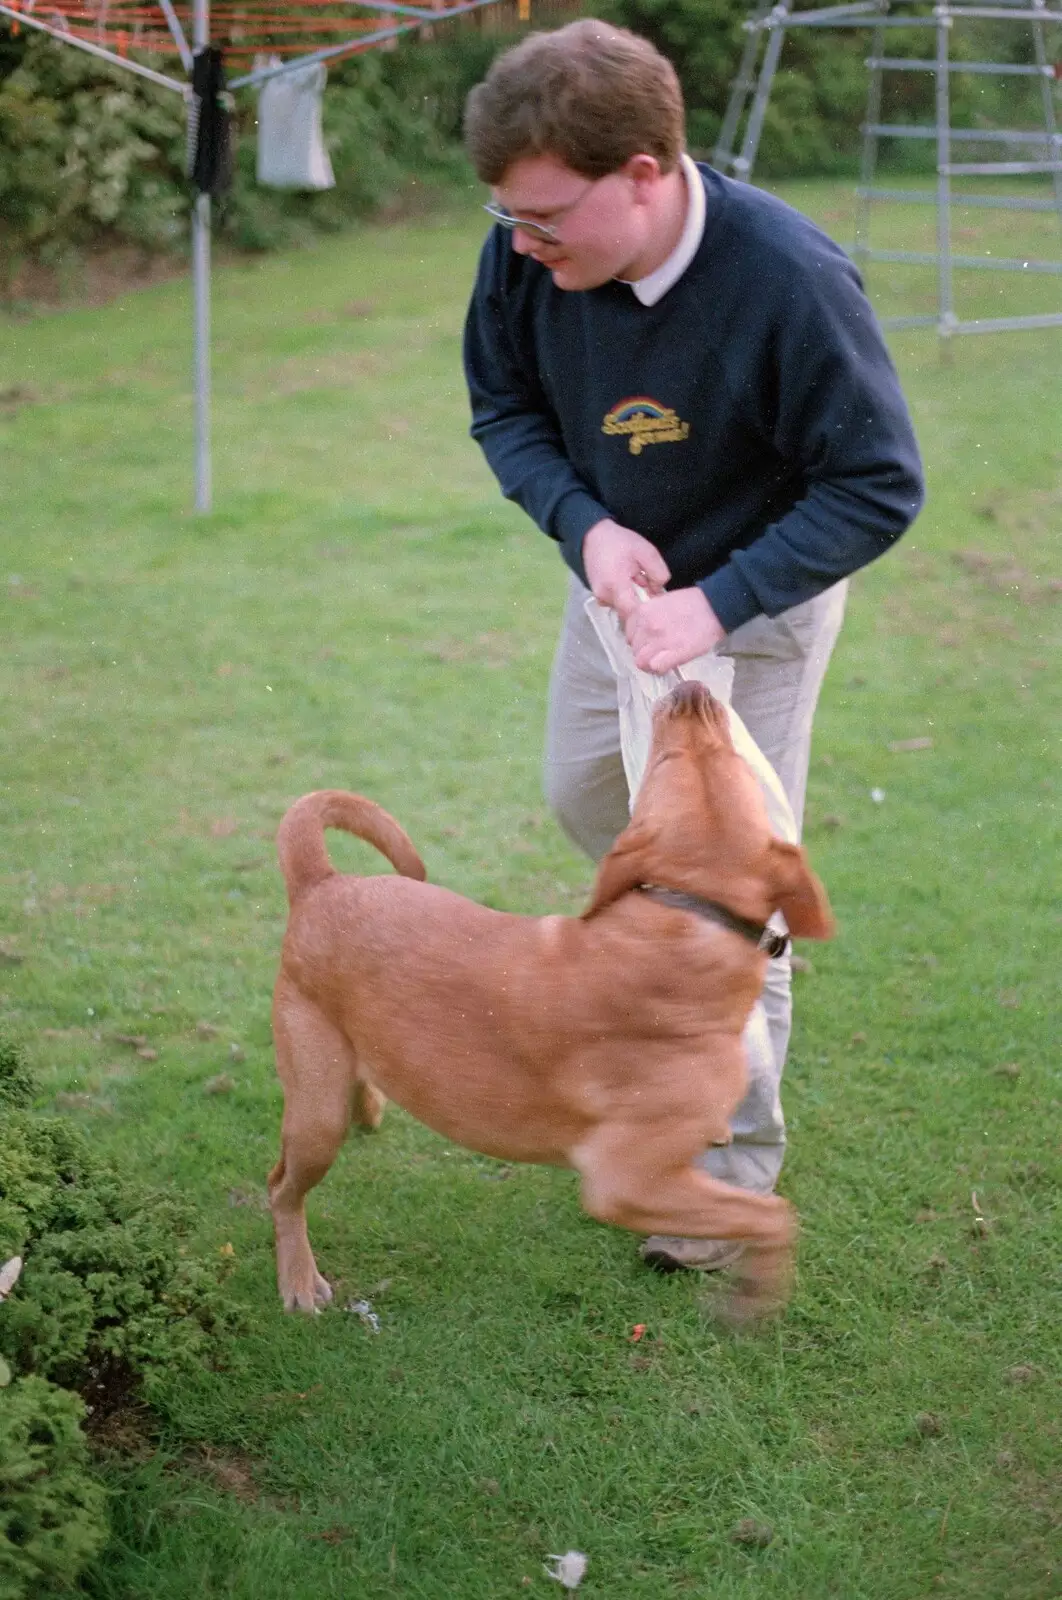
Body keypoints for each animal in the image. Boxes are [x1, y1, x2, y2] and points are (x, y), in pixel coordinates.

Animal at [270, 681, 831, 1318]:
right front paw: (759, 1294)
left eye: (730, 758)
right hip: (316, 1123)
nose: (691, 688)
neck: (689, 916)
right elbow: (773, 1215)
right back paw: (298, 1278)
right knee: (280, 1190)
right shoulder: (624, 1181)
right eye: (667, 761)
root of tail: (323, 883)